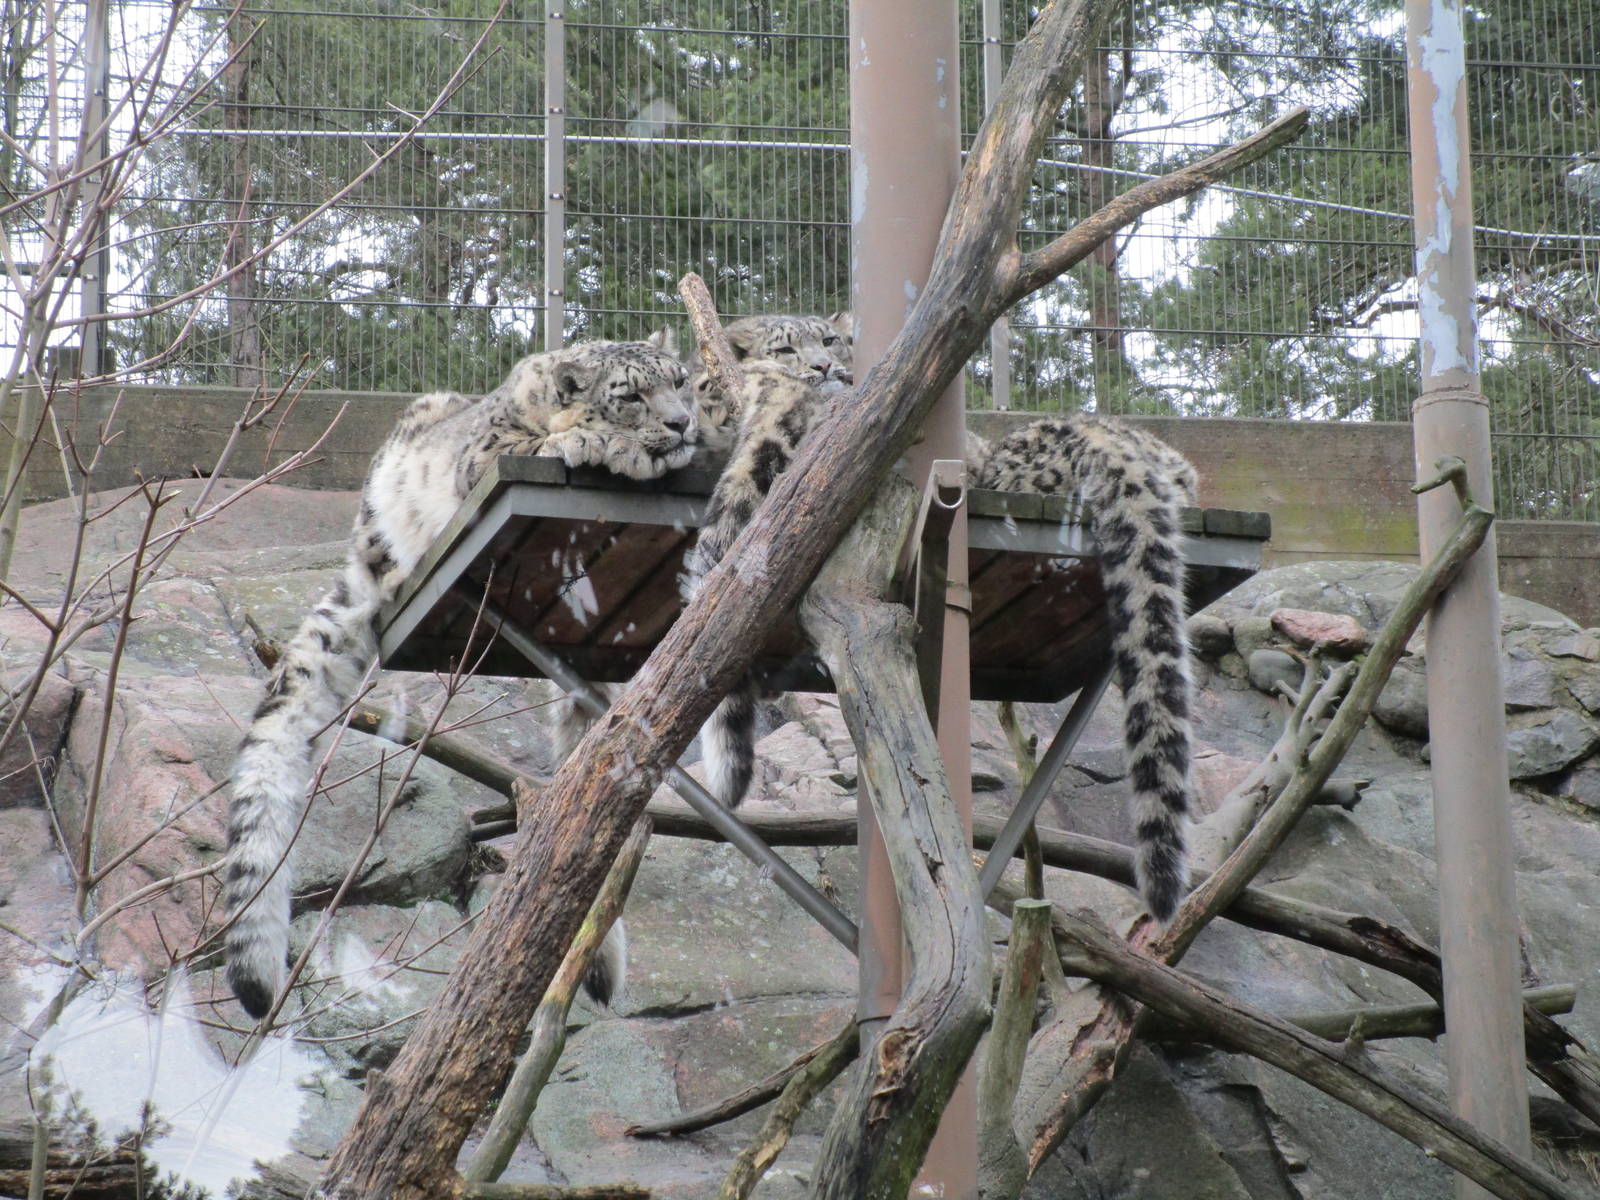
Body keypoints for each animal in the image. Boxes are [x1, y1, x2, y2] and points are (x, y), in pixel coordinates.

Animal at [223, 336, 695, 1019]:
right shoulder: (485, 456)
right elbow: (540, 441)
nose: (682, 423)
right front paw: (603, 441)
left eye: (681, 381)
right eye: (630, 394)